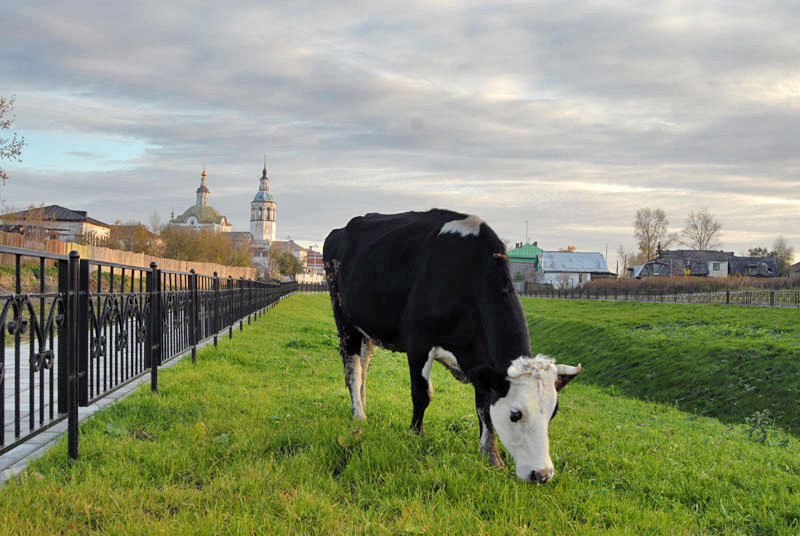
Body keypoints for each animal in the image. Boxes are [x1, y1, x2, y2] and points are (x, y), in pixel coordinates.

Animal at [324, 208, 580, 482]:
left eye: (553, 412)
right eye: (515, 414)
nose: (542, 474)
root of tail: (344, 228)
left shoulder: (483, 364)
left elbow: (483, 408)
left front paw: (492, 457)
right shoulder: (419, 344)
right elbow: (422, 393)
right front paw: (416, 435)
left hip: (368, 332)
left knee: (364, 367)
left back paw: (364, 407)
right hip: (345, 321)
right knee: (353, 371)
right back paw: (359, 415)